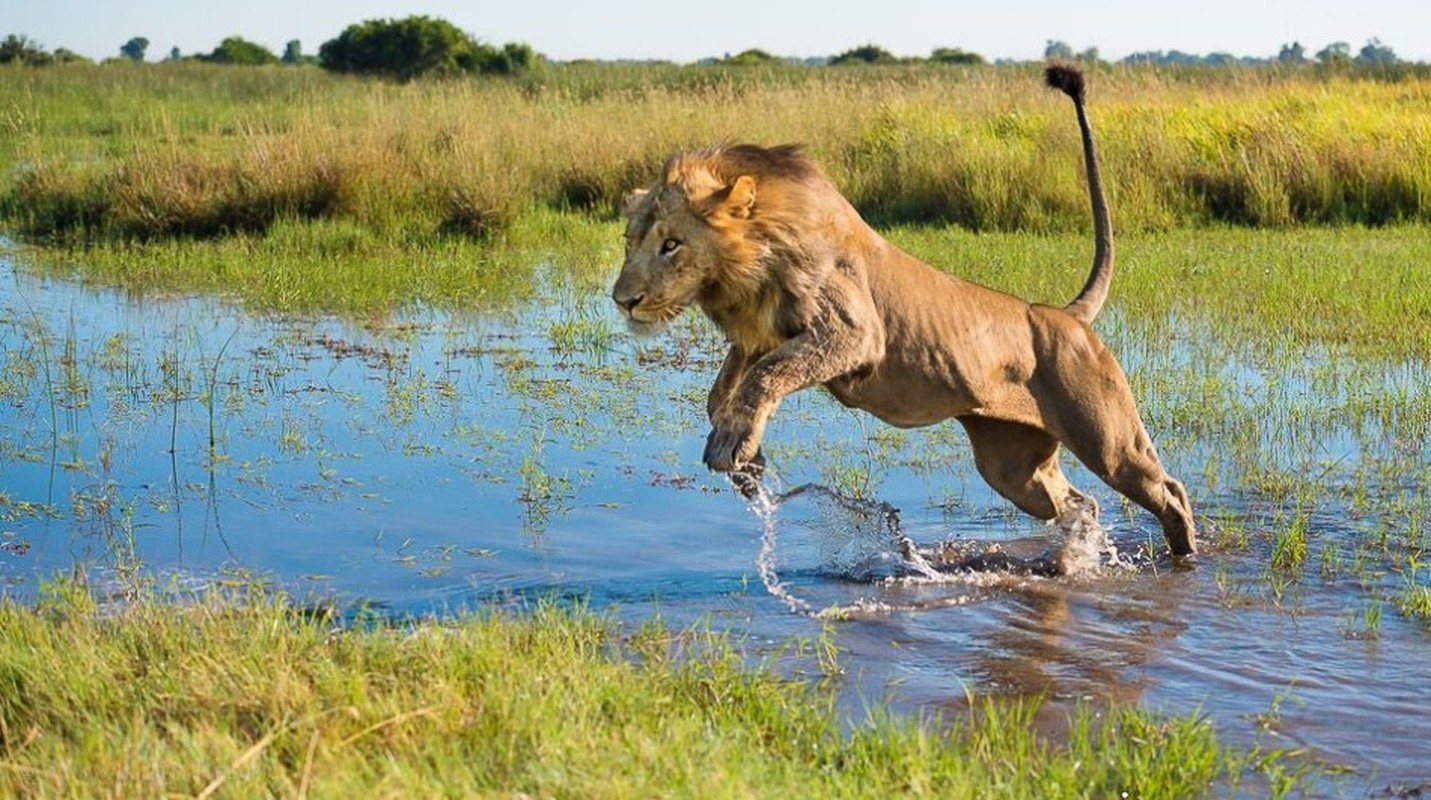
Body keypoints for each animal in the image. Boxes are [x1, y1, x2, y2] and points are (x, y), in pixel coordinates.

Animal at [612, 64, 1196, 558]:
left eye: (671, 245)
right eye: (629, 240)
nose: (623, 300)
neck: (753, 261)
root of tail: (1067, 315)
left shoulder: (853, 335)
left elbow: (766, 375)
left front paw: (733, 445)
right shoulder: (760, 334)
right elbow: (723, 389)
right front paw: (746, 455)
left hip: (1108, 440)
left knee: (1167, 488)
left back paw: (1184, 552)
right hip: (1011, 467)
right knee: (1077, 502)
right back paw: (1076, 555)